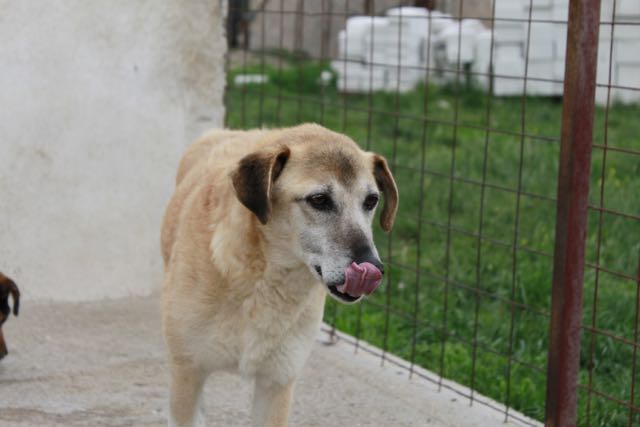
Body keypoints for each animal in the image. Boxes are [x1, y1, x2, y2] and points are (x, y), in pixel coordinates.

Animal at [160, 123, 398, 427]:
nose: (373, 267)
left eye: (371, 201)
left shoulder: (277, 383)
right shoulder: (187, 372)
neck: (263, 281)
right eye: (319, 200)